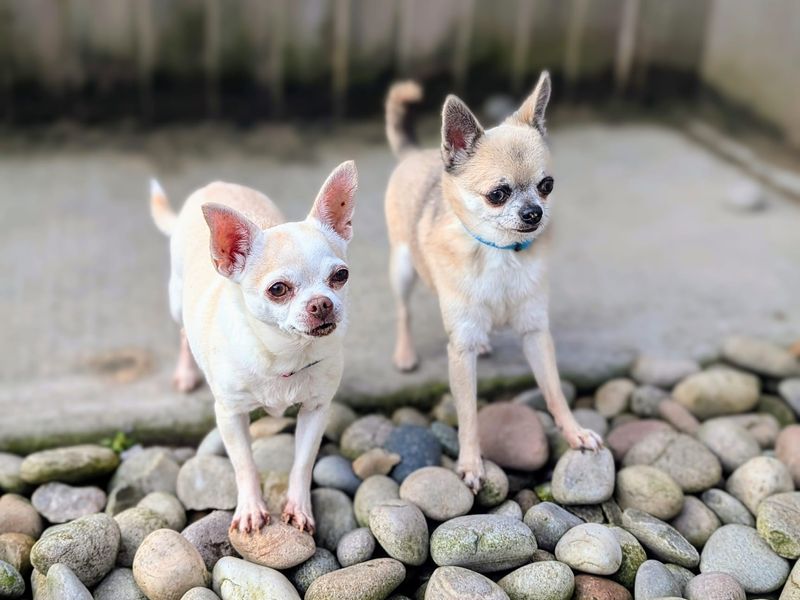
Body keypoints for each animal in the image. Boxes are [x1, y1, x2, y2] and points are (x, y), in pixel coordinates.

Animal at [152, 162, 358, 532]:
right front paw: (250, 508)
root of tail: (215, 184)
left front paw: (299, 507)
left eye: (341, 276)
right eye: (278, 289)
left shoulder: (316, 410)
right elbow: (244, 463)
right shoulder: (230, 415)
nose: (321, 303)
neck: (285, 354)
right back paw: (185, 373)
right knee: (182, 334)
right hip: (177, 300)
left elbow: (302, 463)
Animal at [382, 72, 600, 490]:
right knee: (402, 311)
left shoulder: (535, 333)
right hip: (402, 267)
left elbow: (553, 391)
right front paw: (470, 462)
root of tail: (415, 154)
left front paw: (573, 431)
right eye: (497, 195)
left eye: (547, 185)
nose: (534, 213)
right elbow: (467, 414)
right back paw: (403, 352)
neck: (502, 253)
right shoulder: (460, 352)